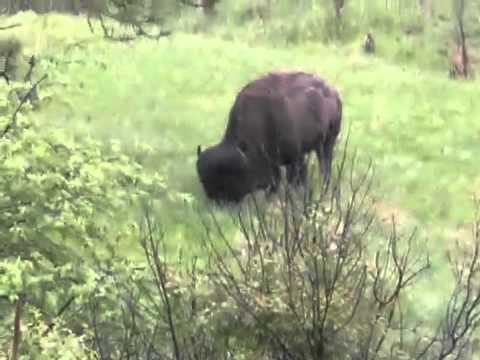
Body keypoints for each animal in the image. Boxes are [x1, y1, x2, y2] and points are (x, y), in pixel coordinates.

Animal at [197, 70, 344, 204]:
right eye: (203, 181)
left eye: (230, 178)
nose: (219, 202)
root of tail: (333, 92)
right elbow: (278, 180)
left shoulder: (295, 157)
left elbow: (293, 179)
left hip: (328, 142)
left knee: (325, 165)